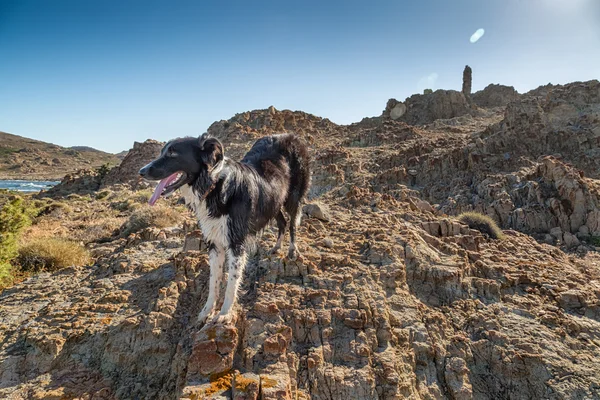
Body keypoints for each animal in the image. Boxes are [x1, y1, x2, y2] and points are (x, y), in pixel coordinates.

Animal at [139, 133, 312, 324]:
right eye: (163, 151)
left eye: (172, 153)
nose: (141, 171)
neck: (215, 186)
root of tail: (290, 136)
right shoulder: (214, 243)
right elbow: (213, 281)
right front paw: (207, 311)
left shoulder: (236, 244)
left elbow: (231, 282)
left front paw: (224, 313)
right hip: (273, 202)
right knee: (282, 222)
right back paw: (276, 247)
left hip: (293, 197)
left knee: (292, 224)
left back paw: (292, 250)